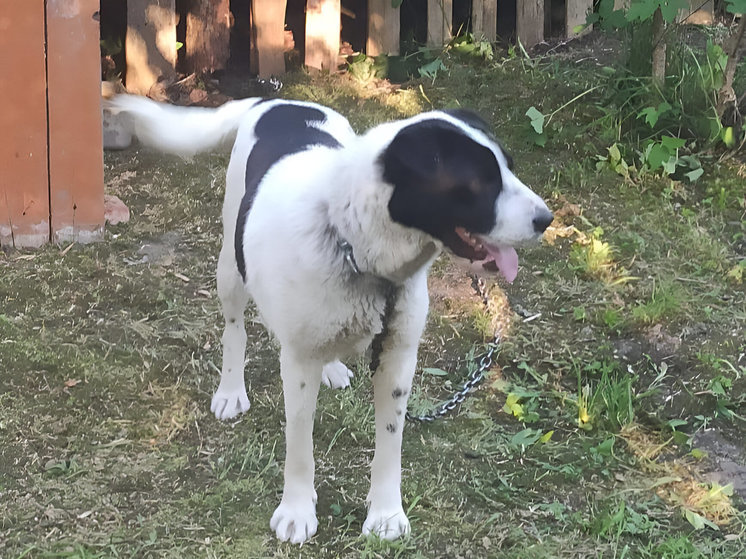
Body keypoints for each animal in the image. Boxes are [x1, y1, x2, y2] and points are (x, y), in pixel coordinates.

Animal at [106, 95, 552, 544]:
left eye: (509, 167)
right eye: (479, 182)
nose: (546, 220)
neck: (353, 245)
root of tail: (275, 99)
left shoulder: (397, 357)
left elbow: (390, 443)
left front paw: (386, 514)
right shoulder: (298, 362)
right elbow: (299, 443)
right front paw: (296, 511)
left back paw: (333, 368)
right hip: (230, 268)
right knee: (235, 331)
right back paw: (231, 390)